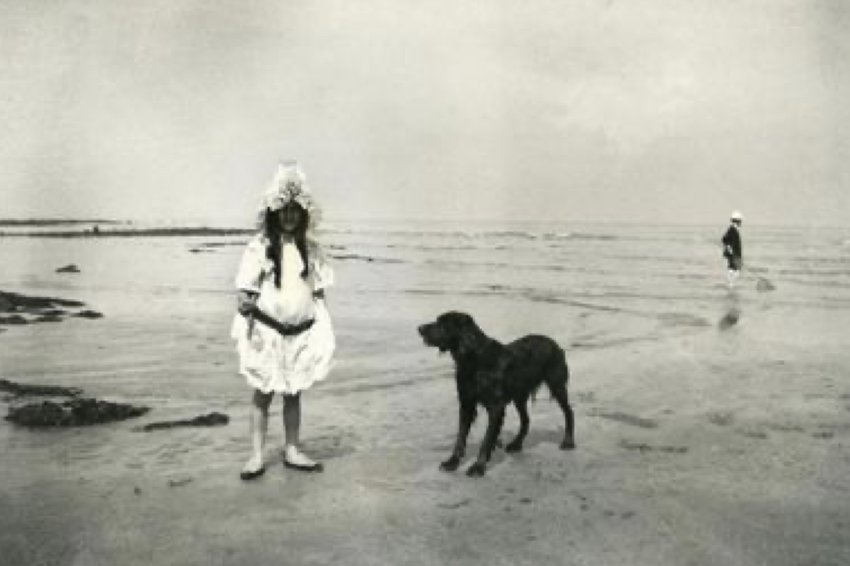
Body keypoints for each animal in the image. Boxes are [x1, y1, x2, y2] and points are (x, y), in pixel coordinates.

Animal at [420, 310, 576, 480]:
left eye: (443, 324)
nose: (419, 328)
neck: (474, 358)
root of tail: (555, 344)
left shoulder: (495, 407)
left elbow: (487, 439)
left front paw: (478, 466)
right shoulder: (466, 403)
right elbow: (460, 437)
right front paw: (452, 462)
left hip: (557, 386)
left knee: (569, 412)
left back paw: (568, 442)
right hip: (519, 396)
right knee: (526, 420)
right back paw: (516, 444)